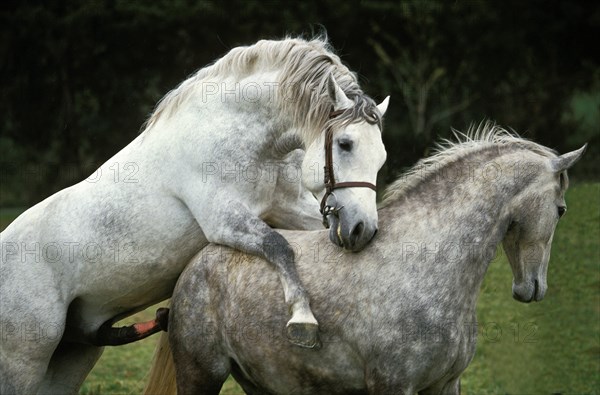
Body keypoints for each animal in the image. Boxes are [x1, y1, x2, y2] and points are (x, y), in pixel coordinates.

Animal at [0, 35, 390, 394]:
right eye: (345, 144)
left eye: (381, 156)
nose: (361, 229)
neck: (232, 133)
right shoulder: (225, 221)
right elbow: (279, 246)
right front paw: (302, 319)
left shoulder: (289, 208)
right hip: (25, 361)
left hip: (72, 356)